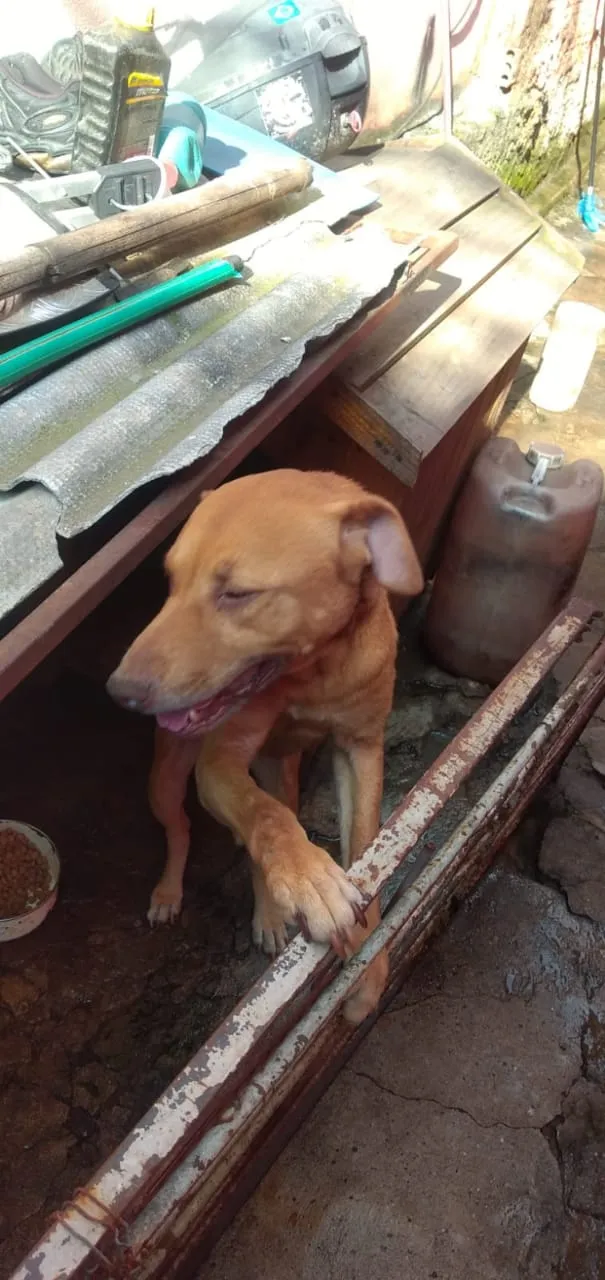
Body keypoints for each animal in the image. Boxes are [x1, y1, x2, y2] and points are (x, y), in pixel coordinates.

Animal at [107, 471, 419, 1018]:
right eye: (170, 581)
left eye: (236, 594)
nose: (119, 691)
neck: (311, 672)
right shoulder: (218, 765)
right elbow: (267, 818)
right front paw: (310, 879)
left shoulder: (361, 747)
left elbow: (367, 843)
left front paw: (369, 966)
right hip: (166, 779)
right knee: (183, 828)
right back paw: (174, 891)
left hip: (282, 768)